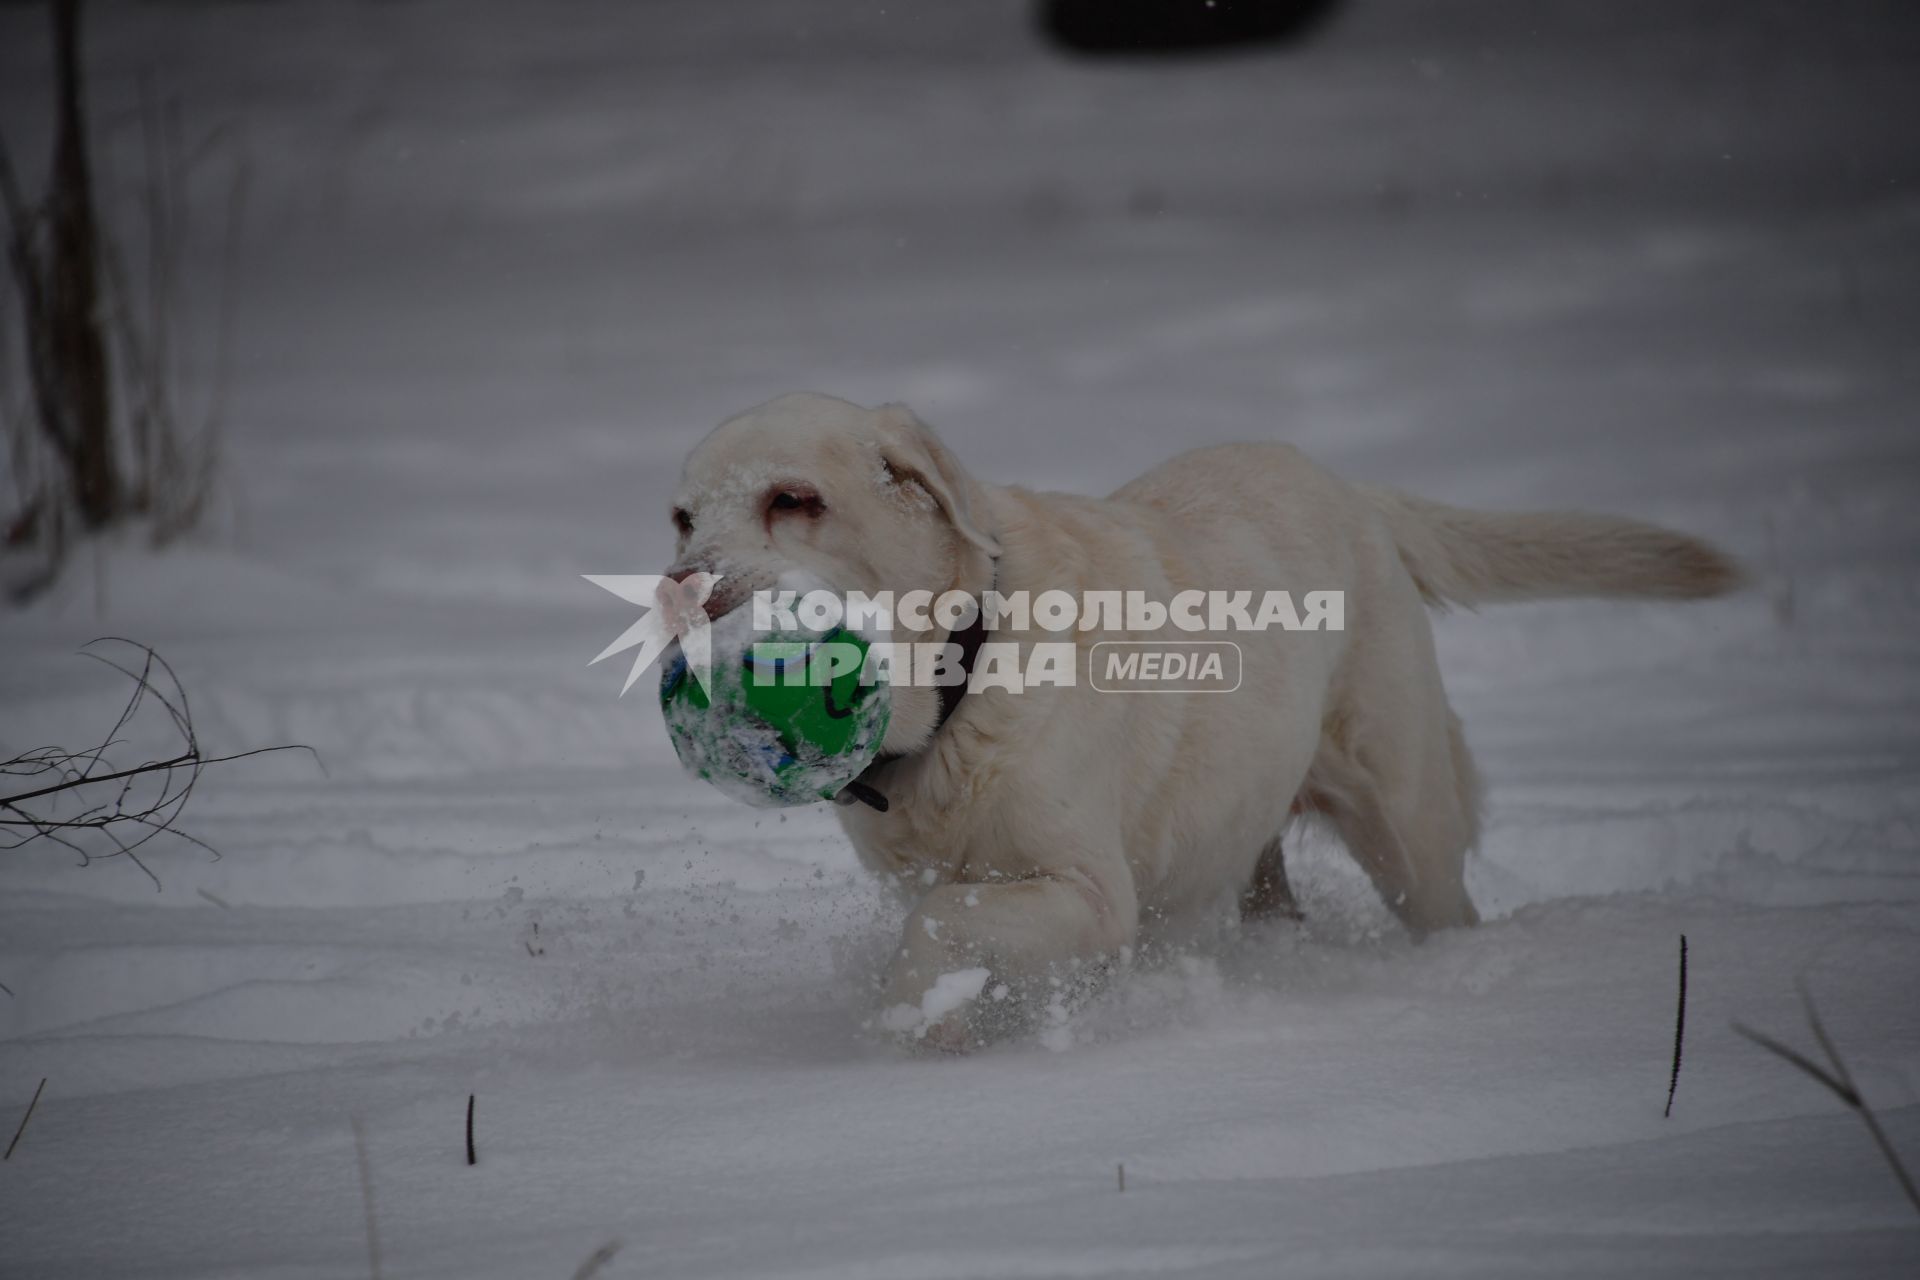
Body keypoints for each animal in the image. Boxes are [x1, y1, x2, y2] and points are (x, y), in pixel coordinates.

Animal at [668, 393, 1751, 1051]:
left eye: (795, 500)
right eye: (682, 517)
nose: (683, 590)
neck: (960, 680)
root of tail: (1357, 494)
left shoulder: (1090, 891)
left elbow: (948, 920)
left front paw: (902, 1021)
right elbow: (948, 920)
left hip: (1405, 821)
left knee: (1441, 898)